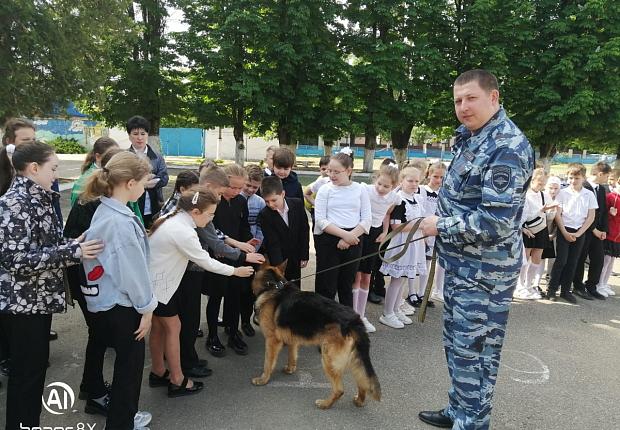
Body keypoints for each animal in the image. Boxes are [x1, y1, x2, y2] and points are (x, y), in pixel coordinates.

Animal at [249, 264, 380, 408]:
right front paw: (290, 369)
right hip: (353, 358)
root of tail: (354, 320)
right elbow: (292, 355)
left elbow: (268, 363)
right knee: (362, 379)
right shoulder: (293, 339)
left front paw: (263, 379)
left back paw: (325, 404)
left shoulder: (272, 341)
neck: (273, 285)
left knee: (340, 389)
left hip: (328, 358)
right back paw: (359, 400)